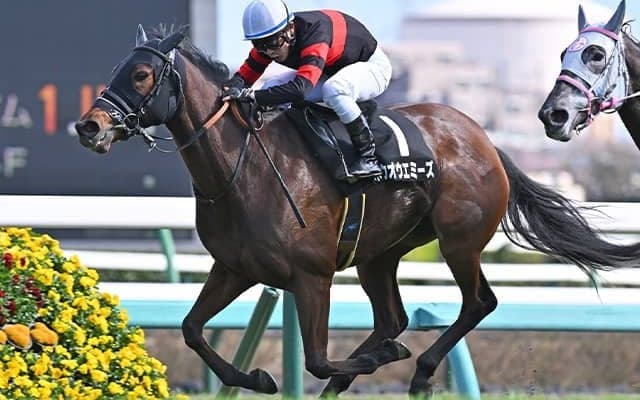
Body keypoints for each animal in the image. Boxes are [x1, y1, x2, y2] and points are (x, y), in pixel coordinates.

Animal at [74, 25, 640, 397]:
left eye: (141, 74)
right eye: (118, 70)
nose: (89, 126)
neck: (244, 167)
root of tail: (484, 139)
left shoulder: (311, 276)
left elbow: (319, 359)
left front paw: (374, 362)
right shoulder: (234, 268)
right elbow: (192, 330)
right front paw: (256, 376)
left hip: (458, 241)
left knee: (478, 303)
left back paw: (419, 369)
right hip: (379, 254)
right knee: (393, 317)